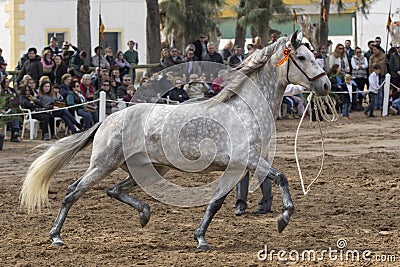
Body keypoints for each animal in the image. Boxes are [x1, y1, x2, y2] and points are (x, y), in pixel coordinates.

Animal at [20, 31, 330, 251]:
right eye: (302, 58)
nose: (326, 85)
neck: (244, 108)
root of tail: (108, 119)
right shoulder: (248, 160)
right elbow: (281, 177)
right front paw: (283, 219)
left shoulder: (237, 167)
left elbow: (216, 202)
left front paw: (201, 238)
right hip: (103, 164)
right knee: (73, 192)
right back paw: (56, 237)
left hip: (148, 169)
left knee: (113, 190)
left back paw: (144, 214)